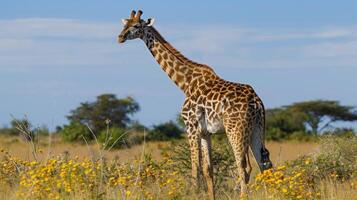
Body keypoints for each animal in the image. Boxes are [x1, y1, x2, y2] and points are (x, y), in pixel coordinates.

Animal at [117, 9, 272, 198]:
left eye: (136, 26)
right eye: (124, 24)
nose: (120, 37)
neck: (185, 83)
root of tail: (256, 102)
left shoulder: (190, 127)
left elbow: (194, 169)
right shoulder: (205, 132)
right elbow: (207, 170)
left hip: (236, 130)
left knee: (244, 167)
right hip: (256, 129)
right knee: (264, 164)